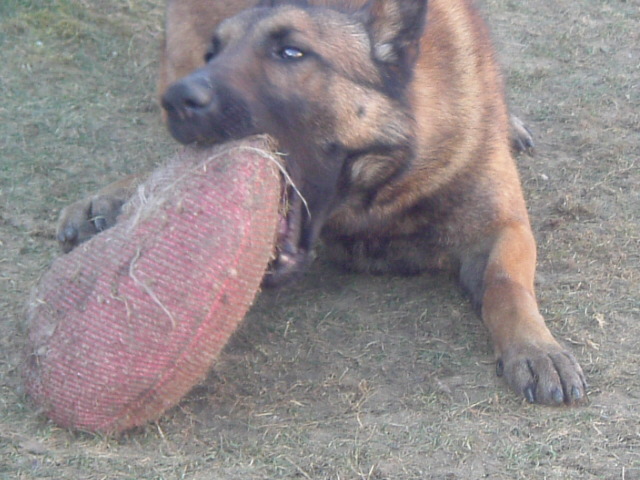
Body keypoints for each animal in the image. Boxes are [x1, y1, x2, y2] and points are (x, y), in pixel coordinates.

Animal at [58, 0, 584, 404]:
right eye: (215, 52)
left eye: (292, 52)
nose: (177, 100)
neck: (380, 195)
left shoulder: (502, 226)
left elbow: (505, 285)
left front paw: (535, 348)